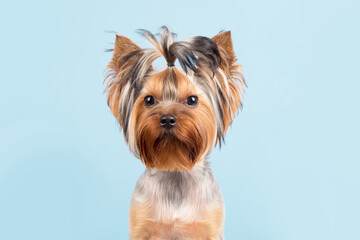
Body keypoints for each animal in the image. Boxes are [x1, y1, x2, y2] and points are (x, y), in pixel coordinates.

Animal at [104, 25, 245, 239]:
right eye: (149, 100)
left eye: (192, 100)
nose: (167, 119)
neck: (175, 166)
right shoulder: (141, 227)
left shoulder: (210, 227)